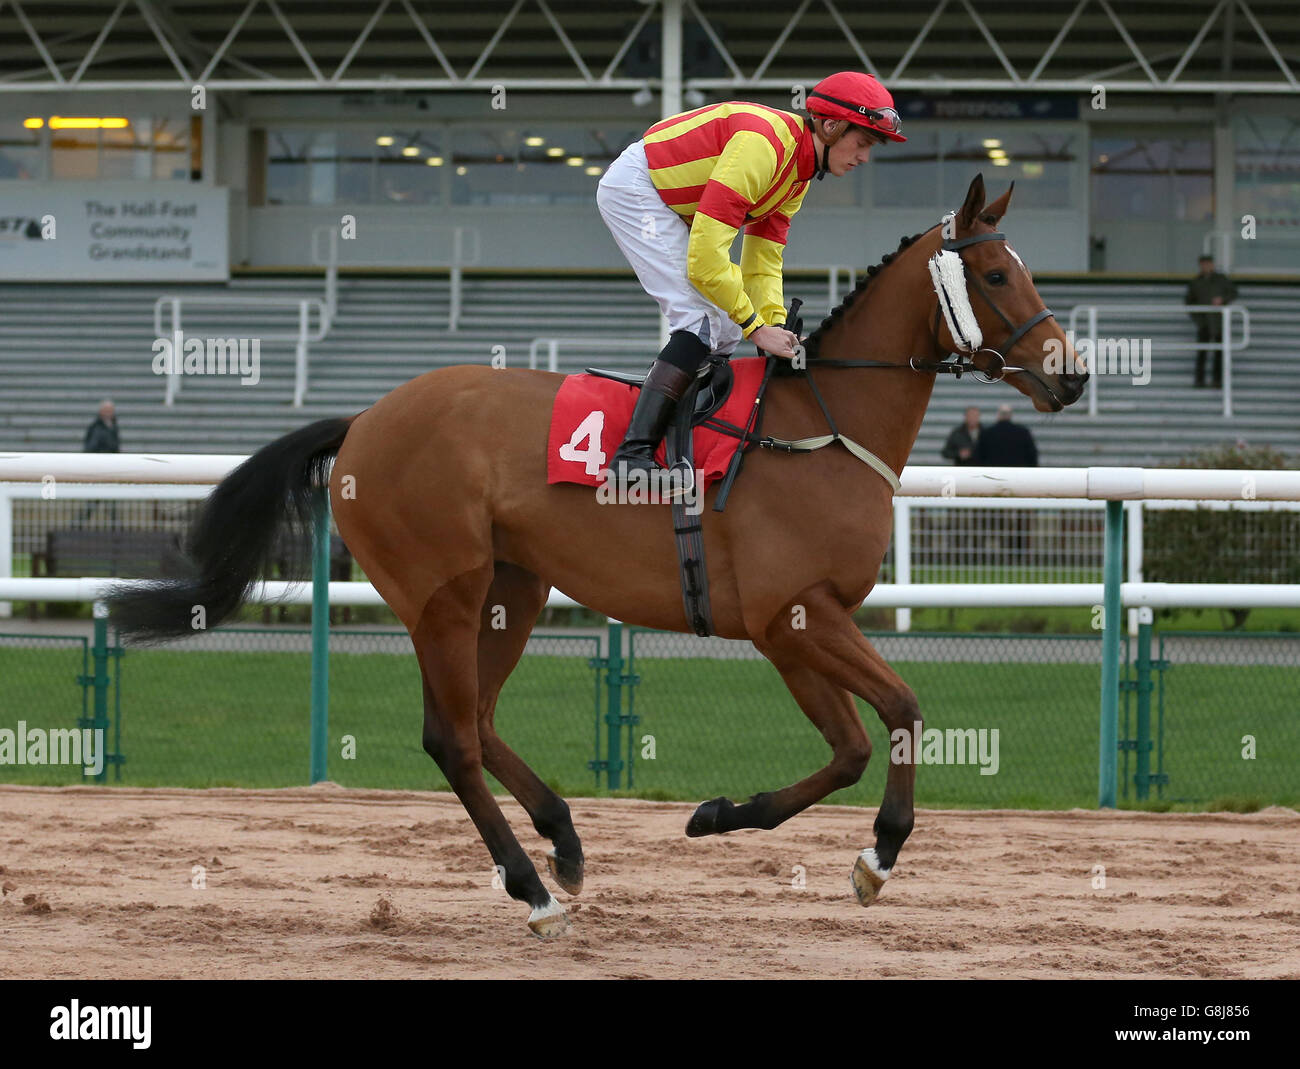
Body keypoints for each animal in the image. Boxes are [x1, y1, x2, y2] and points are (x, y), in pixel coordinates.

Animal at [109, 174, 1086, 936]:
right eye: (996, 272)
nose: (1072, 372)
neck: (819, 427)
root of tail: (363, 422)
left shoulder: (790, 625)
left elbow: (850, 743)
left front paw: (719, 814)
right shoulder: (795, 612)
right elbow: (904, 708)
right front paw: (878, 853)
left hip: (514, 587)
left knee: (479, 722)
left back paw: (566, 840)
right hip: (442, 591)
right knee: (450, 736)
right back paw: (532, 888)